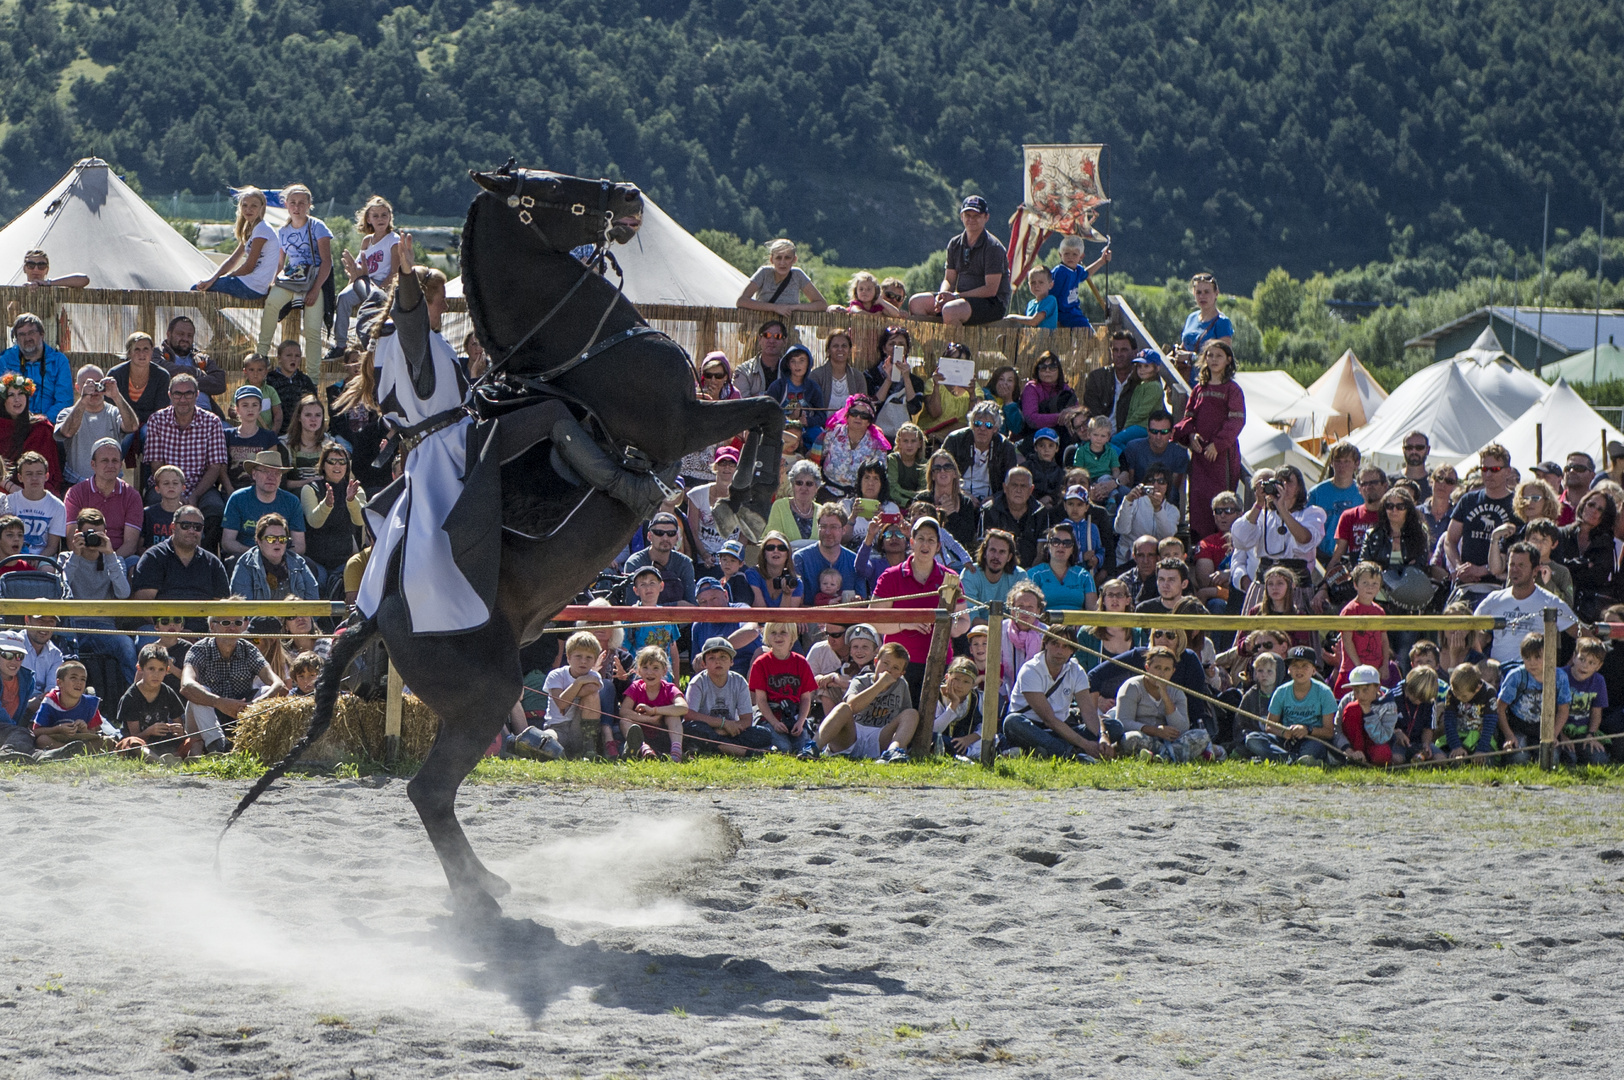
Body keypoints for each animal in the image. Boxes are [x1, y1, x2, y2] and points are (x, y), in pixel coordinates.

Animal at [227, 166, 786, 909]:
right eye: (549, 189)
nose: (629, 197)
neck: (581, 351)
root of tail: (376, 616)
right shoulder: (681, 421)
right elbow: (769, 407)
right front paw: (745, 504)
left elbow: (767, 411)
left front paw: (741, 503)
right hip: (487, 700)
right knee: (428, 791)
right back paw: (480, 893)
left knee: (432, 794)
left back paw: (485, 881)